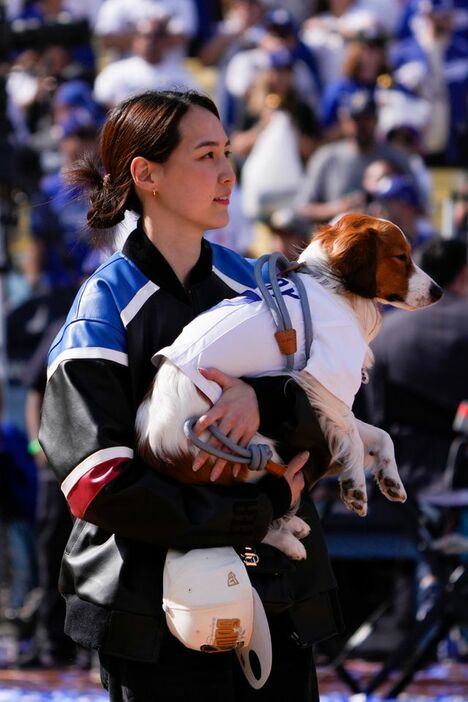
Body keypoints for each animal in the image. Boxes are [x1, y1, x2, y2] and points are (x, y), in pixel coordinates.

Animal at [136, 214, 442, 560]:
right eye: (401, 256)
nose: (438, 291)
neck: (330, 285)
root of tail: (154, 450)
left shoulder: (328, 403)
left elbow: (380, 435)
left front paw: (391, 480)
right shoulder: (322, 382)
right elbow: (353, 437)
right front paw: (355, 485)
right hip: (256, 452)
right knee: (259, 513)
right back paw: (289, 539)